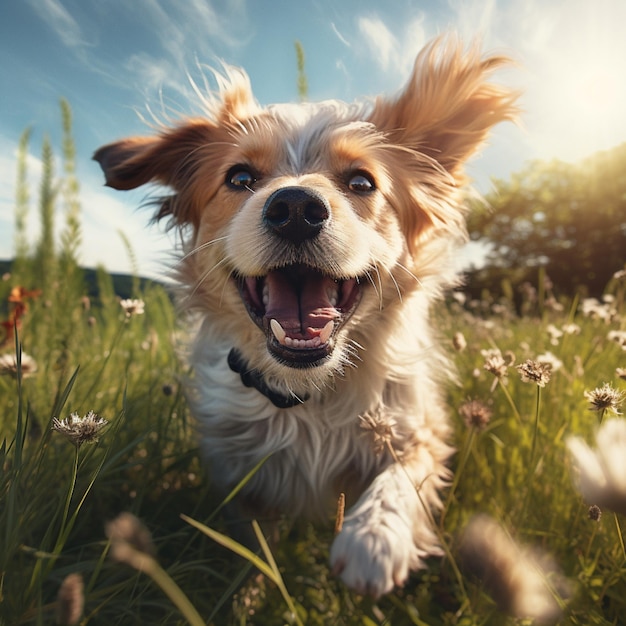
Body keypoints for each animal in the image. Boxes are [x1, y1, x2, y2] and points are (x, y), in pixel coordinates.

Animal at [95, 35, 516, 596]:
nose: (295, 207)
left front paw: (374, 539)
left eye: (361, 182)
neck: (307, 396)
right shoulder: (240, 475)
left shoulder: (418, 428)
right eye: (240, 177)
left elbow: (403, 474)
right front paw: (249, 593)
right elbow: (253, 547)